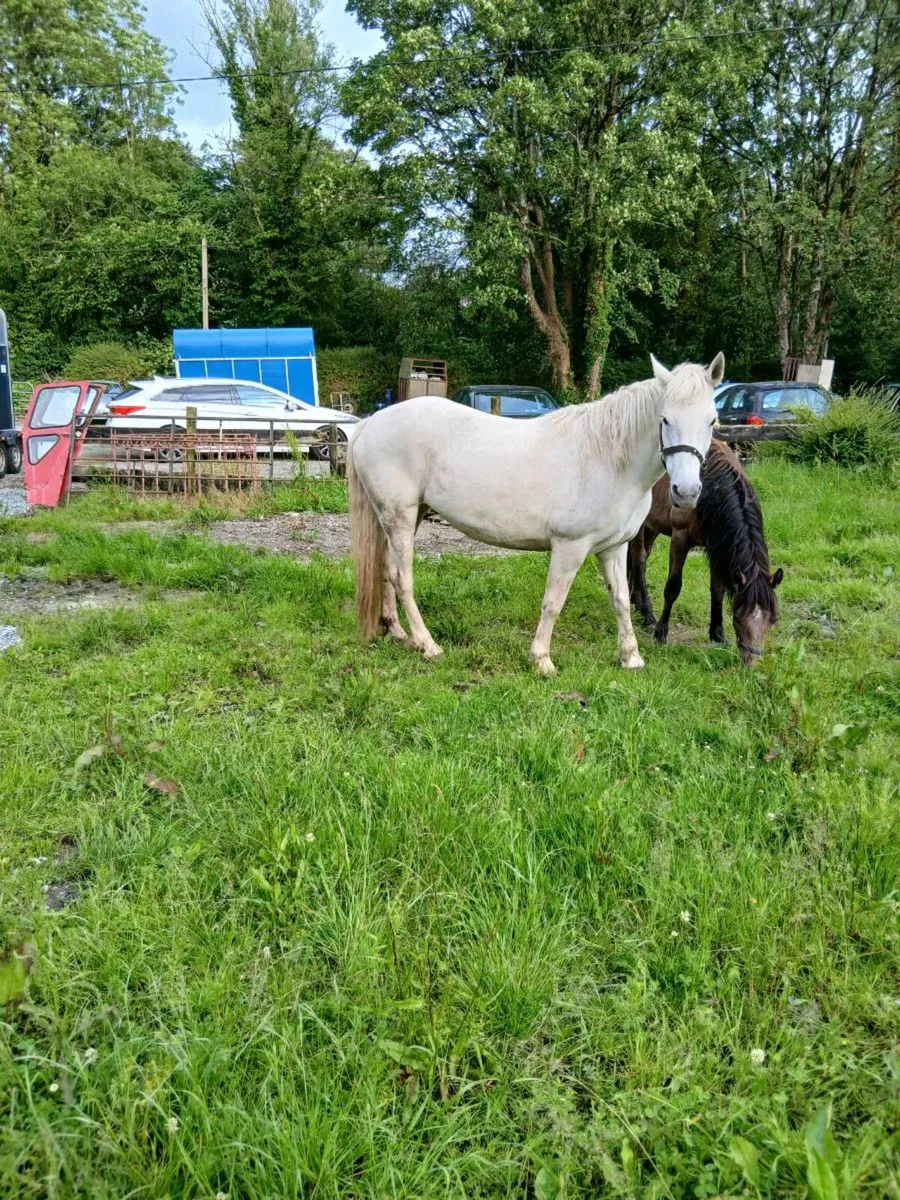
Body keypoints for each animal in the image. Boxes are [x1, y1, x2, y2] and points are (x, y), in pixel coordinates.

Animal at [347, 353, 724, 674]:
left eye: (712, 420)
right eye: (665, 419)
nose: (686, 492)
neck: (607, 457)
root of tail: (371, 422)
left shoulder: (613, 548)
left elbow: (620, 599)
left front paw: (630, 657)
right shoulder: (570, 546)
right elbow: (554, 602)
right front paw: (541, 660)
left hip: (405, 517)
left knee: (387, 570)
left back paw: (398, 633)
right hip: (400, 515)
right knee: (402, 578)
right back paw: (427, 645)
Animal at [627, 439, 783, 665]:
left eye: (773, 619)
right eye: (738, 616)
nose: (750, 662)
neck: (712, 487)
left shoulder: (717, 545)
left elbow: (717, 589)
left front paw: (718, 634)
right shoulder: (680, 538)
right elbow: (673, 587)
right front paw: (661, 633)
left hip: (652, 525)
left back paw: (636, 602)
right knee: (639, 560)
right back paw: (647, 614)